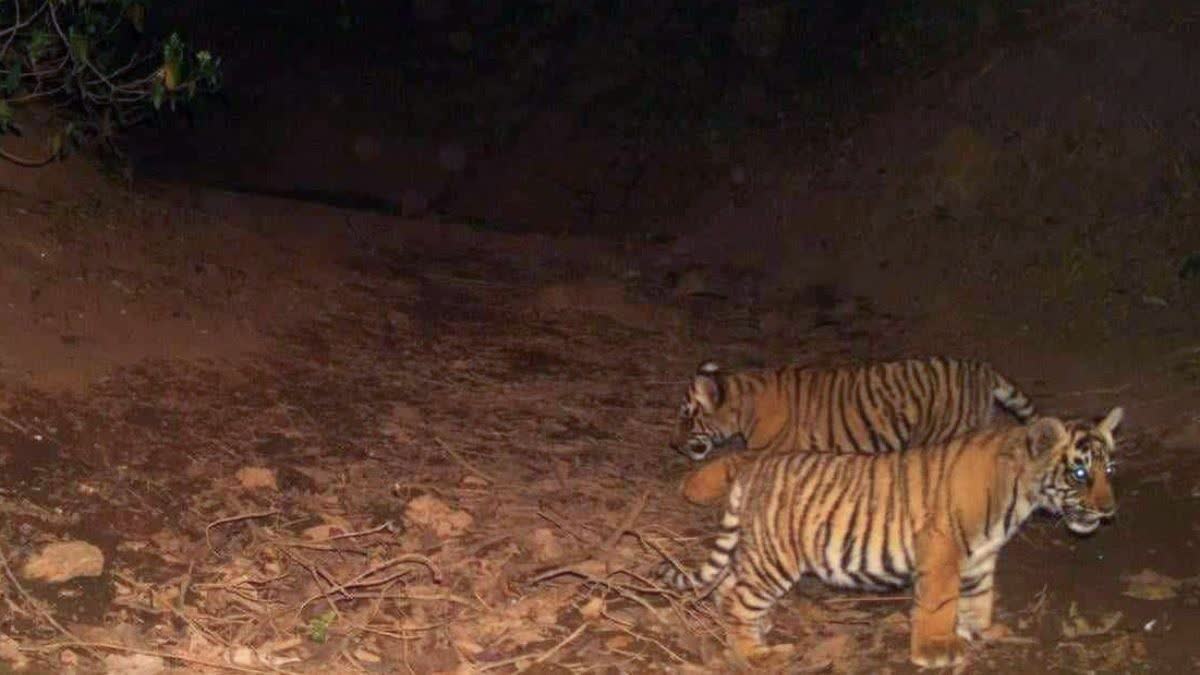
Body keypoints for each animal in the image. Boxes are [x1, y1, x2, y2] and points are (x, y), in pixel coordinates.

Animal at [659, 406, 1123, 668]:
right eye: (1079, 472)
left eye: (1108, 470)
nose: (1109, 511)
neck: (1019, 495)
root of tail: (755, 468)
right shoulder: (943, 549)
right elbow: (940, 603)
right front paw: (937, 650)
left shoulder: (980, 557)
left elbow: (979, 597)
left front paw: (980, 631)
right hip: (776, 558)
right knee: (738, 597)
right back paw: (754, 654)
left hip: (758, 551)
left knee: (728, 587)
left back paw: (758, 630)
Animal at [671, 356, 1036, 505]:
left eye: (687, 417)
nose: (673, 445)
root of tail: (982, 369)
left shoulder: (767, 450)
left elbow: (728, 461)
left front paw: (693, 488)